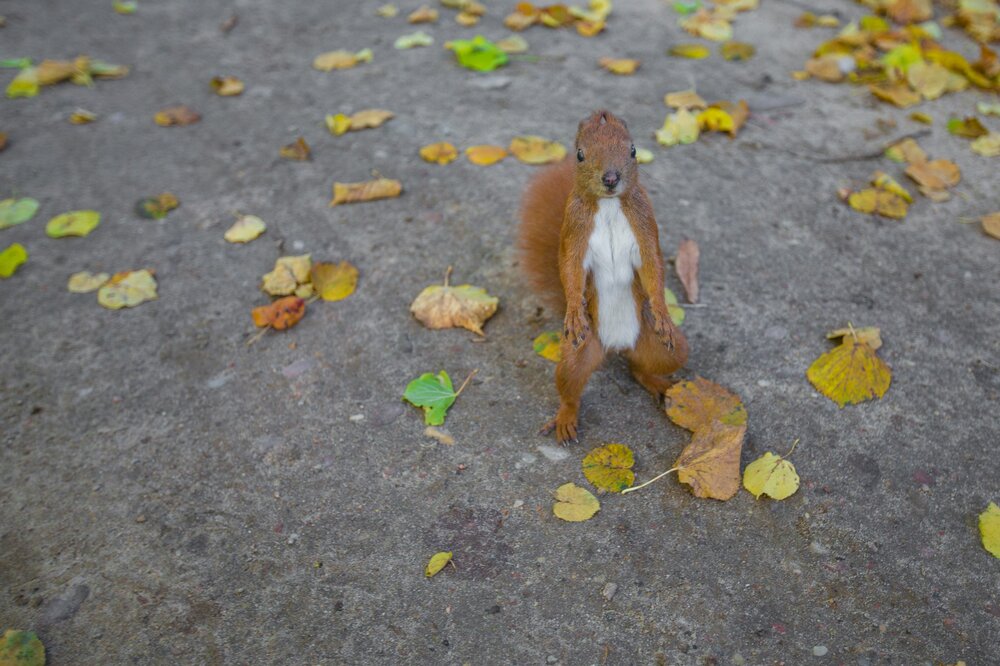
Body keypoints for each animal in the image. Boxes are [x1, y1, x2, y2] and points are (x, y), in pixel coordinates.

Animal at [516, 107, 688, 440]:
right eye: (580, 154)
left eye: (633, 150)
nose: (610, 178)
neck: (609, 205)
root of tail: (616, 346)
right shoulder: (574, 229)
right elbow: (570, 269)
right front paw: (573, 309)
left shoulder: (645, 223)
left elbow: (653, 267)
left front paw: (662, 310)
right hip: (578, 353)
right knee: (571, 386)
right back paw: (566, 418)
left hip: (666, 348)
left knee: (640, 368)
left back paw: (658, 383)